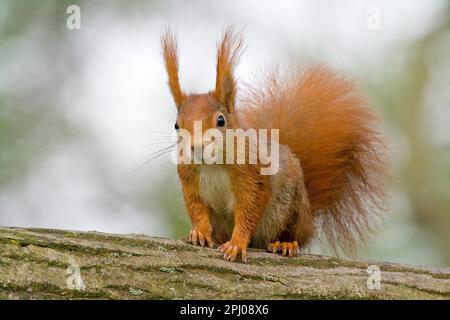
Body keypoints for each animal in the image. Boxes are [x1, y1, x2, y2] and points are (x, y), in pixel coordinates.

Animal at [160, 27, 388, 262]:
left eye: (220, 121)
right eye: (177, 125)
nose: (196, 147)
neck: (212, 164)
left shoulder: (252, 175)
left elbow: (249, 209)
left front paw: (237, 243)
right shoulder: (190, 180)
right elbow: (197, 208)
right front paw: (200, 232)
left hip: (292, 207)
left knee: (295, 234)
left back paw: (285, 243)